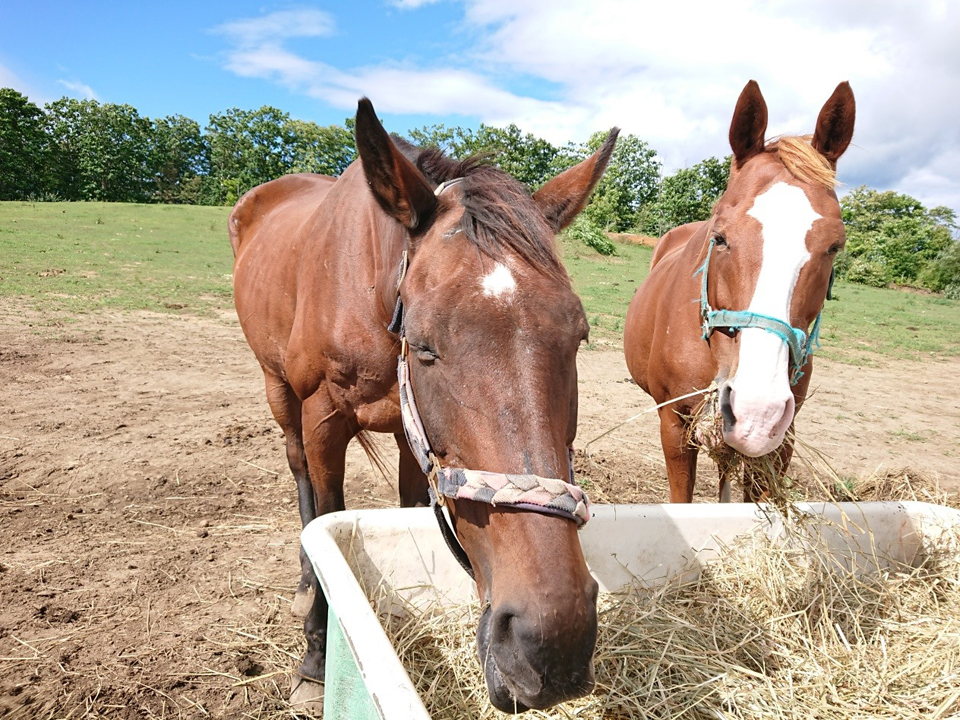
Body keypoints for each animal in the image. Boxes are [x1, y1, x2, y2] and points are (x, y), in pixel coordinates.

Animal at [232, 98, 620, 712]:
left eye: (578, 336)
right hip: (277, 388)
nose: (551, 642)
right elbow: (325, 507)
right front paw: (316, 658)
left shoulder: (415, 438)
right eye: (423, 343)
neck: (369, 289)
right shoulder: (323, 419)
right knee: (299, 477)